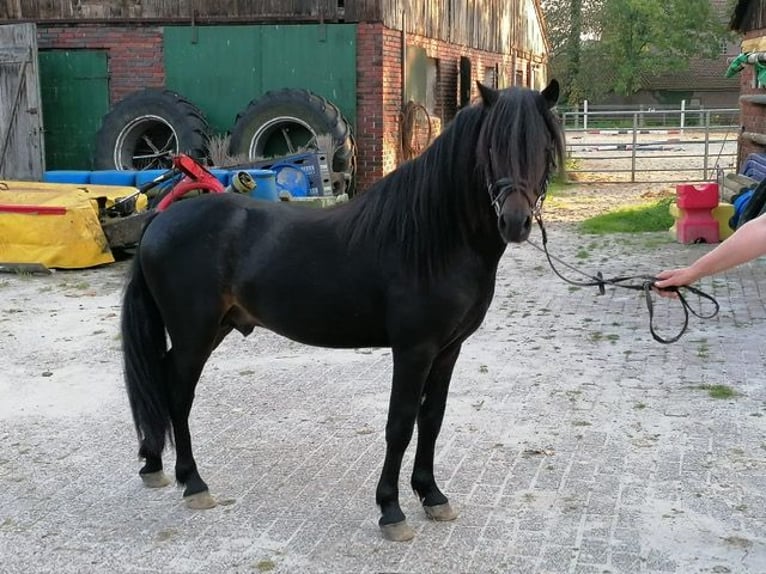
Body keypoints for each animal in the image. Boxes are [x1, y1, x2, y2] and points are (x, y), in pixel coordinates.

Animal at [123, 81, 568, 544]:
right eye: (491, 146)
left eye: (543, 146)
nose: (515, 222)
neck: (435, 239)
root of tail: (159, 221)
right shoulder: (414, 350)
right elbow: (400, 424)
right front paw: (391, 509)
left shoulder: (448, 350)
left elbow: (432, 419)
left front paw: (431, 495)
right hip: (194, 332)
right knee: (177, 391)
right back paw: (192, 482)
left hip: (213, 330)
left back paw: (154, 464)